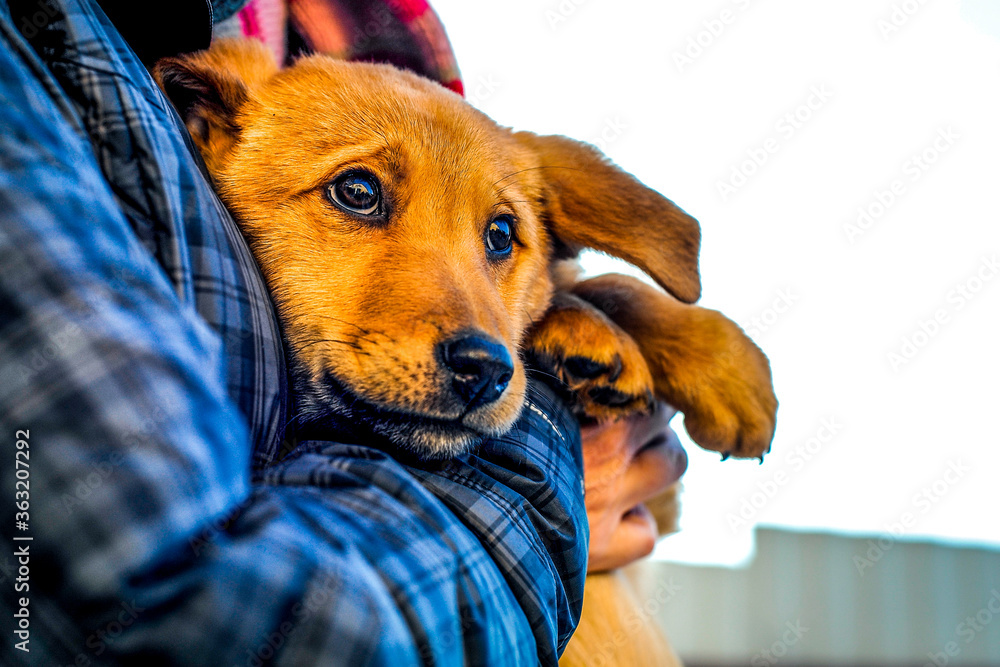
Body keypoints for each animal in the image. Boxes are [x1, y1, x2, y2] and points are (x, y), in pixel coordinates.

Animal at [156, 39, 776, 462]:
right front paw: (590, 332)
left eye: (501, 234)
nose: (485, 369)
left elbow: (608, 283)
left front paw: (727, 369)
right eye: (357, 191)